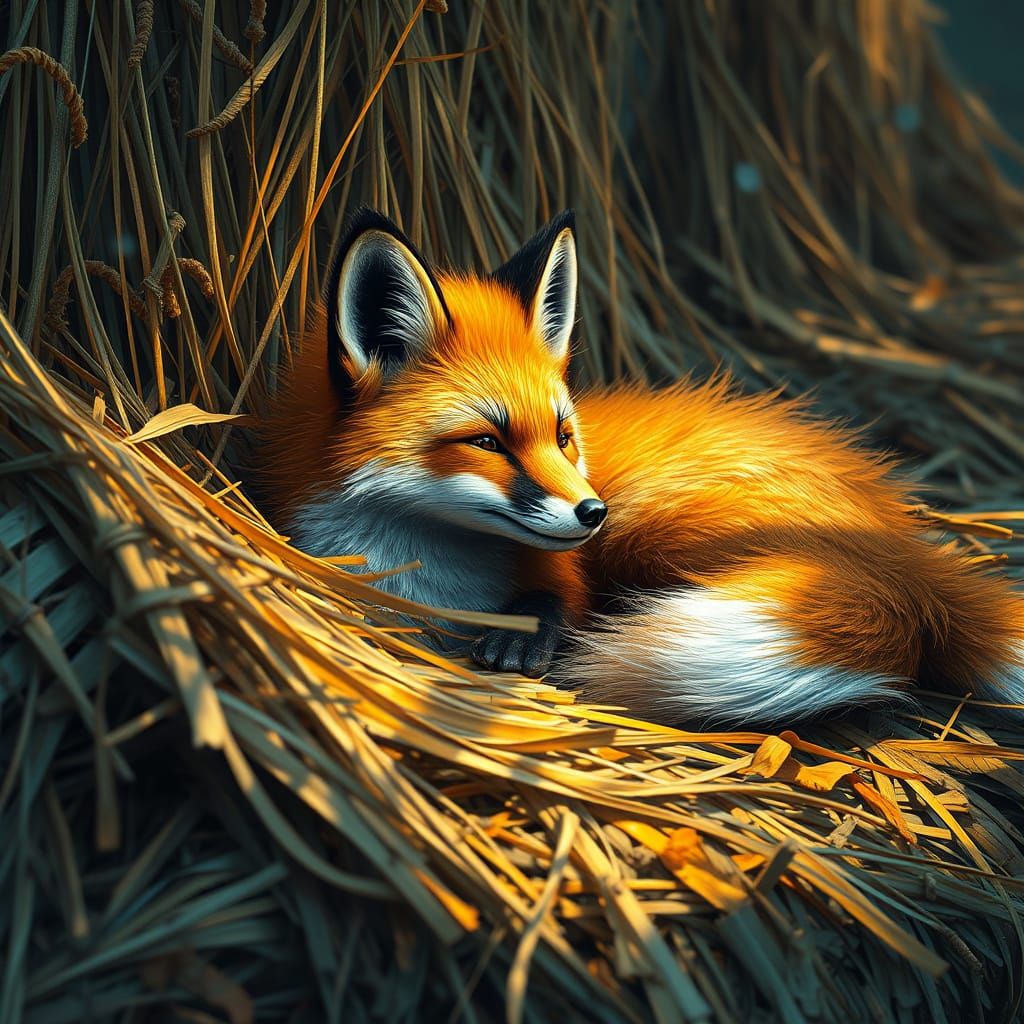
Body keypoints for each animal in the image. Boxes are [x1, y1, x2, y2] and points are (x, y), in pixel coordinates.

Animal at [258, 207, 1024, 725]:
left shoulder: (573, 576)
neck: (431, 582)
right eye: (488, 442)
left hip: (658, 536)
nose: (593, 510)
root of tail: (909, 554)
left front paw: (527, 639)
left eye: (562, 436)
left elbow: (558, 604)